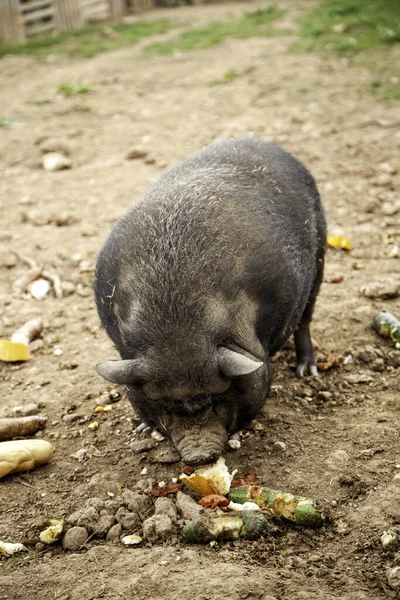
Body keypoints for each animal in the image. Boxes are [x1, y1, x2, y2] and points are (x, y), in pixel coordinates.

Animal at [95, 139, 326, 464]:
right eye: (164, 405)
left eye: (217, 398)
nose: (199, 455)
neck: (177, 330)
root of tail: (268, 144)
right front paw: (143, 428)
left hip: (320, 255)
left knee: (305, 319)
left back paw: (307, 371)